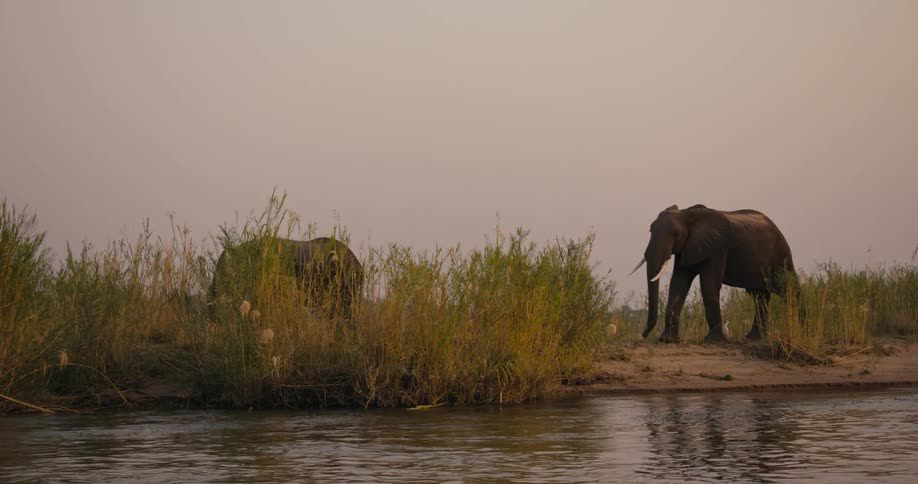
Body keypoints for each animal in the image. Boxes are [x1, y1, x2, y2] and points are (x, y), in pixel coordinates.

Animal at [630, 204, 799, 343]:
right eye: (650, 230)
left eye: (676, 234)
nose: (643, 335)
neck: (686, 214)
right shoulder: (687, 247)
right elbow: (678, 284)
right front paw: (667, 340)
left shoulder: (718, 249)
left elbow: (709, 284)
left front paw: (714, 340)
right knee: (759, 295)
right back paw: (752, 339)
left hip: (781, 254)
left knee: (789, 288)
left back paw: (800, 330)